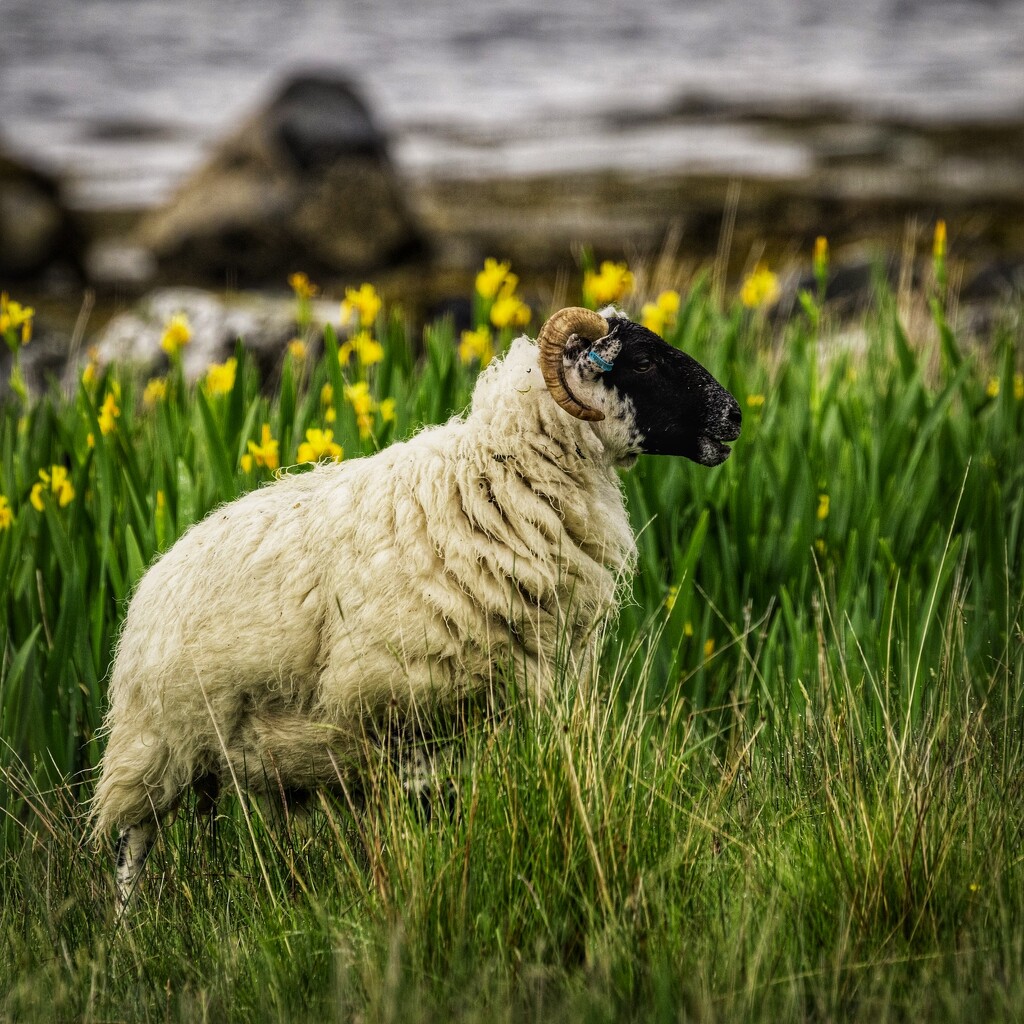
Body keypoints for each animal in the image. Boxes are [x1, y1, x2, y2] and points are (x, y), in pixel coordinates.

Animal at [94, 305, 737, 905]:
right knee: (133, 844)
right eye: (644, 361)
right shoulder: (402, 706)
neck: (500, 481)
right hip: (152, 742)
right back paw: (127, 928)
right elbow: (427, 813)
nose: (732, 416)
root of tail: (155, 572)